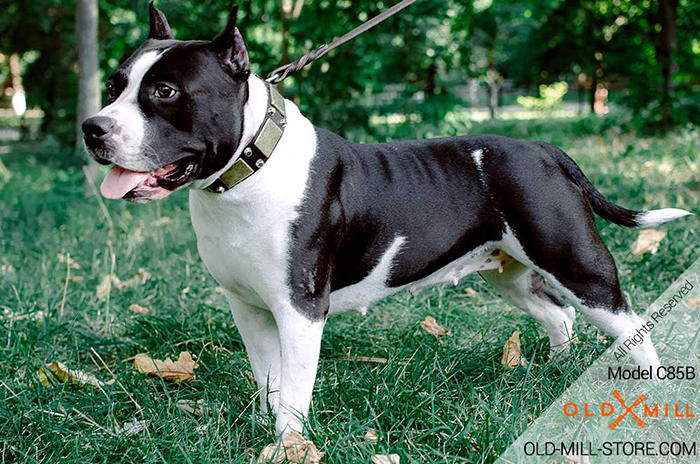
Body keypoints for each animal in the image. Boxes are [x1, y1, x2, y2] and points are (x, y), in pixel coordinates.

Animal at [80, 3, 688, 436]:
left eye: (165, 91)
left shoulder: (300, 311)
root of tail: (544, 150)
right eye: (113, 86)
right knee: (557, 314)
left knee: (630, 327)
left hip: (577, 264)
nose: (93, 127)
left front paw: (289, 443)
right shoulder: (248, 307)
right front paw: (266, 430)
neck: (249, 168)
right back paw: (555, 377)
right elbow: (270, 379)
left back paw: (653, 398)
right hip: (508, 271)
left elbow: (294, 388)